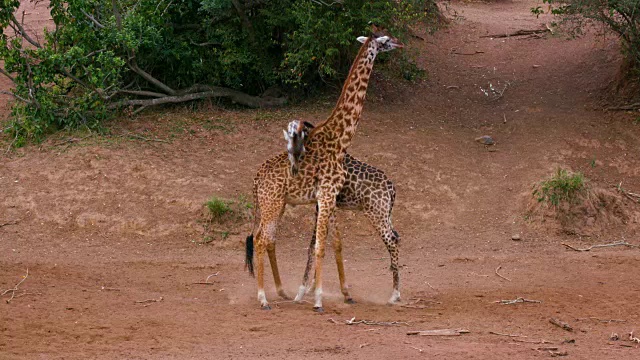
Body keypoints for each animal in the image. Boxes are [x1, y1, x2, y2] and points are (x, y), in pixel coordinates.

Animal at [284, 120, 400, 304]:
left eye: (295, 133)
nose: (291, 153)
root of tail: (391, 188)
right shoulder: (325, 205)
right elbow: (324, 243)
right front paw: (312, 289)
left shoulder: (320, 204)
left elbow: (312, 245)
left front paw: (301, 292)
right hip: (386, 215)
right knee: (397, 238)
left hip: (376, 214)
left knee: (393, 242)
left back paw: (394, 294)